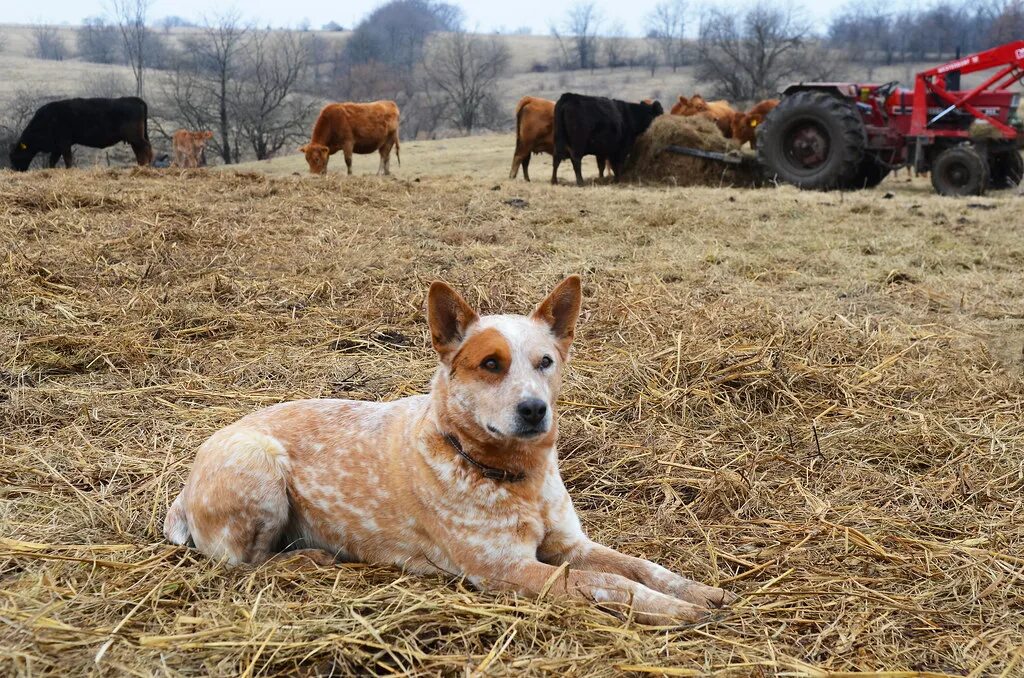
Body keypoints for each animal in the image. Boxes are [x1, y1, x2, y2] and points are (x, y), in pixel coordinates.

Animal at [8, 98, 153, 173]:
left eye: (15, 156)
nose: (16, 170)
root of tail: (134, 99)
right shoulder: (57, 147)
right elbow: (52, 161)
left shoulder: (64, 143)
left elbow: (67, 159)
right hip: (134, 139)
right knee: (139, 151)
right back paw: (141, 167)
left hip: (136, 137)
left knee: (146, 148)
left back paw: (145, 167)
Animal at [163, 278, 733, 626]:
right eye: (491, 363)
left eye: (545, 361)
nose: (534, 410)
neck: (515, 477)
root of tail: (183, 494)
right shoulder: (508, 569)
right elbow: (608, 582)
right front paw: (672, 609)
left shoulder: (569, 542)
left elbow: (637, 565)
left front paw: (695, 590)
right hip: (257, 466)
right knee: (247, 565)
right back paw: (308, 560)